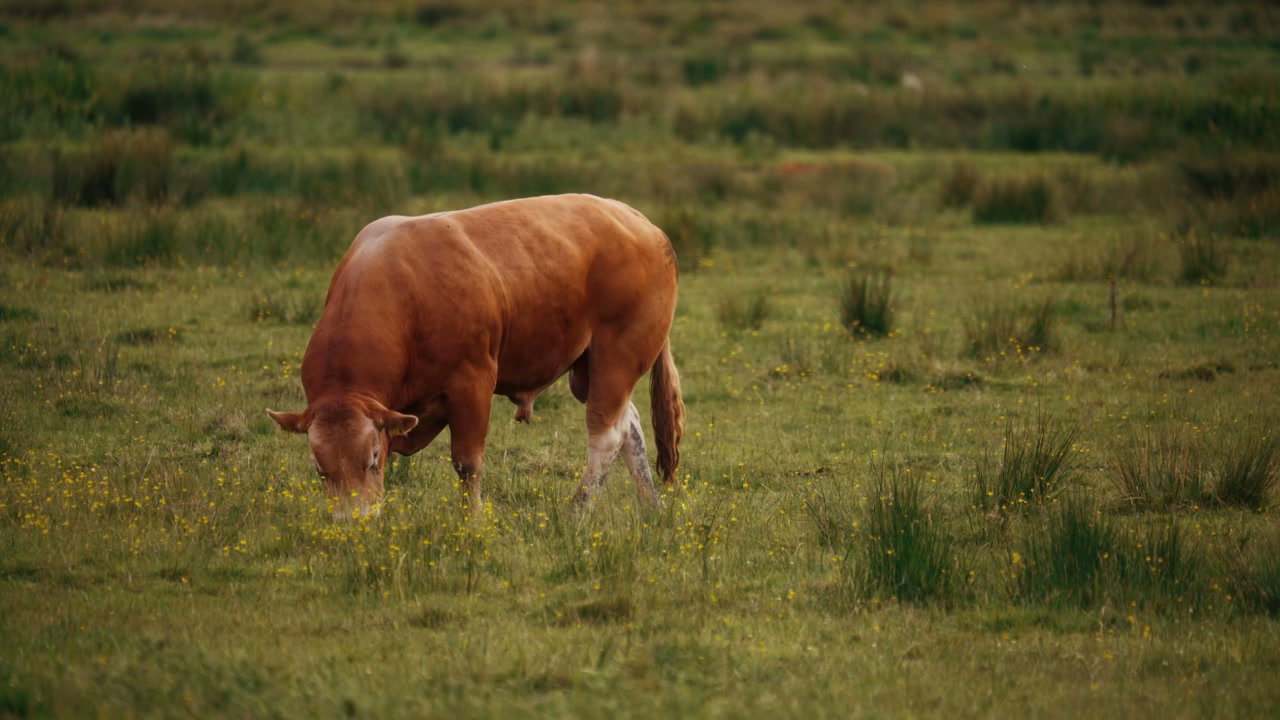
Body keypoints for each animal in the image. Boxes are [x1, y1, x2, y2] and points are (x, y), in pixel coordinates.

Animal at [266, 194, 685, 519]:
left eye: (371, 458)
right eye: (319, 467)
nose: (354, 521)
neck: (403, 297)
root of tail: (637, 219)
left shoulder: (472, 383)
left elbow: (467, 463)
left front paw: (473, 520)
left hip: (617, 356)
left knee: (606, 434)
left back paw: (578, 511)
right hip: (589, 369)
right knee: (630, 426)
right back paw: (650, 505)